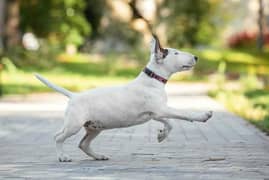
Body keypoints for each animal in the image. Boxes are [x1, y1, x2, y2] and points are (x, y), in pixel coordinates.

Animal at [35, 35, 211, 162]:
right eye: (175, 53)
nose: (196, 57)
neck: (153, 79)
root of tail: (74, 95)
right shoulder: (160, 109)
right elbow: (183, 114)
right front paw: (203, 115)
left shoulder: (155, 113)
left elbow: (170, 122)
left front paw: (161, 135)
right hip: (74, 124)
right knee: (58, 137)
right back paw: (62, 157)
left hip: (94, 127)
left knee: (83, 144)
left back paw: (98, 156)